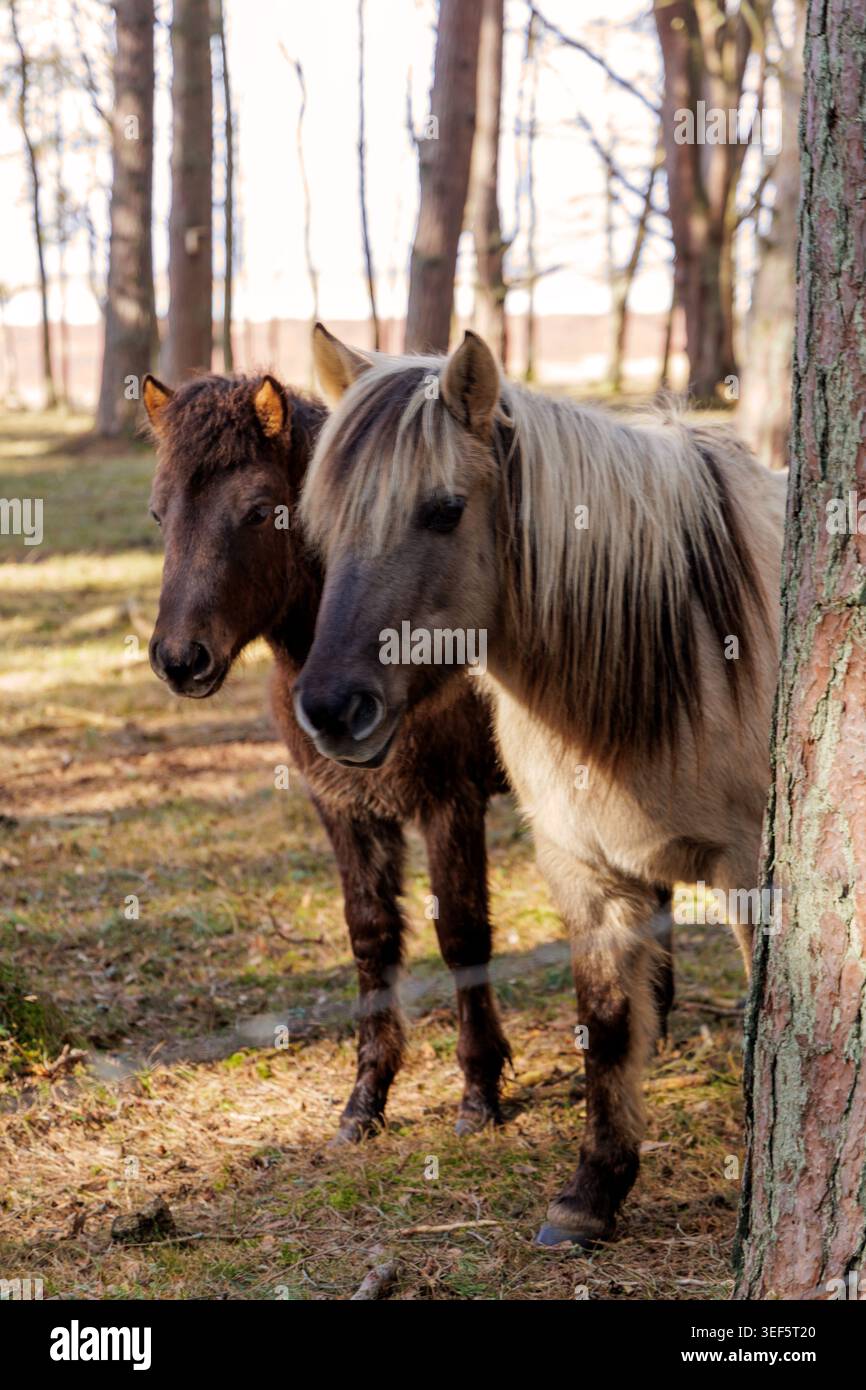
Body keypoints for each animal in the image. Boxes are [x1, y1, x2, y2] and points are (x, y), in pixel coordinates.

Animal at [141, 369, 517, 1141]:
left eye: (259, 512)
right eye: (159, 513)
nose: (179, 659)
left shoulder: (451, 801)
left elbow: (463, 935)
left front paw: (478, 1092)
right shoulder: (343, 806)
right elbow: (370, 935)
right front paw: (366, 1096)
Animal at [293, 324, 786, 1247]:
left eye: (443, 510)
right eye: (320, 522)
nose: (331, 709)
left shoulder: (751, 876)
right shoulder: (585, 871)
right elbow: (607, 1023)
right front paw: (593, 1192)